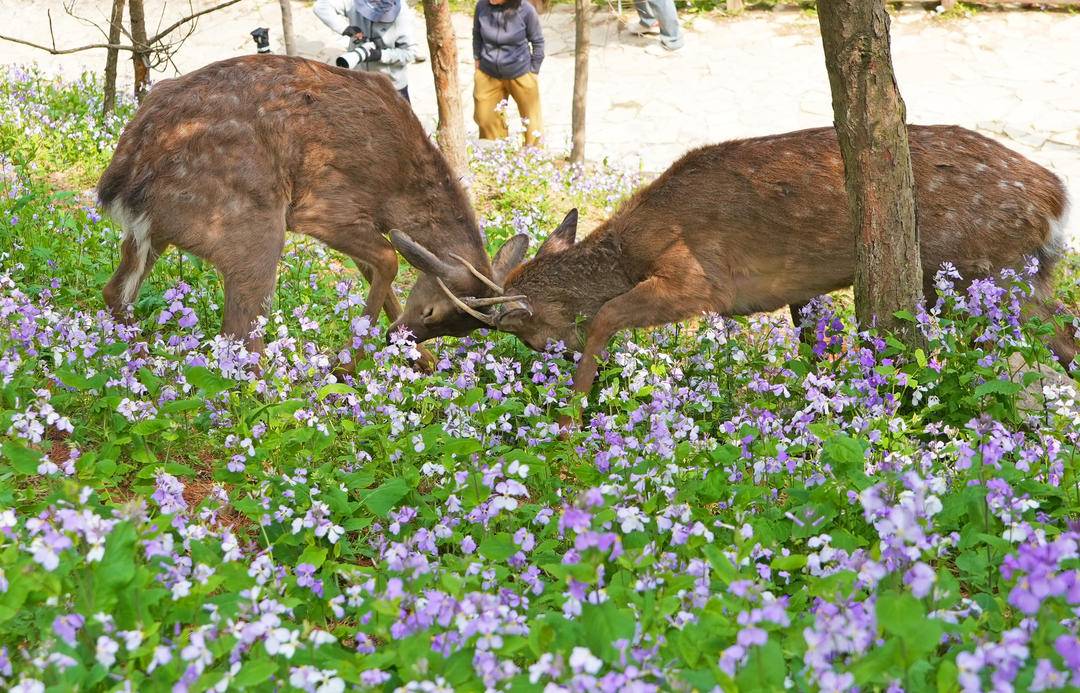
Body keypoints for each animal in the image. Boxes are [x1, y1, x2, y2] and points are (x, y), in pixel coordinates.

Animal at [97, 54, 530, 363]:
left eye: (462, 331)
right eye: (431, 312)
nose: (397, 337)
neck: (396, 193)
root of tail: (117, 185)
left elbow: (372, 267)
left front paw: (419, 359)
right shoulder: (326, 207)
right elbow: (388, 259)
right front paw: (350, 361)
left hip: (154, 233)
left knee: (115, 291)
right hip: (247, 224)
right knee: (239, 331)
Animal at [392, 125, 1075, 421]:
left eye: (530, 337)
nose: (400, 334)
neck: (631, 247)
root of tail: (1054, 195)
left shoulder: (705, 280)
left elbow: (606, 315)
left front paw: (571, 419)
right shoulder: (796, 288)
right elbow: (815, 349)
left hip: (983, 268)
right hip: (1015, 277)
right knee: (1063, 330)